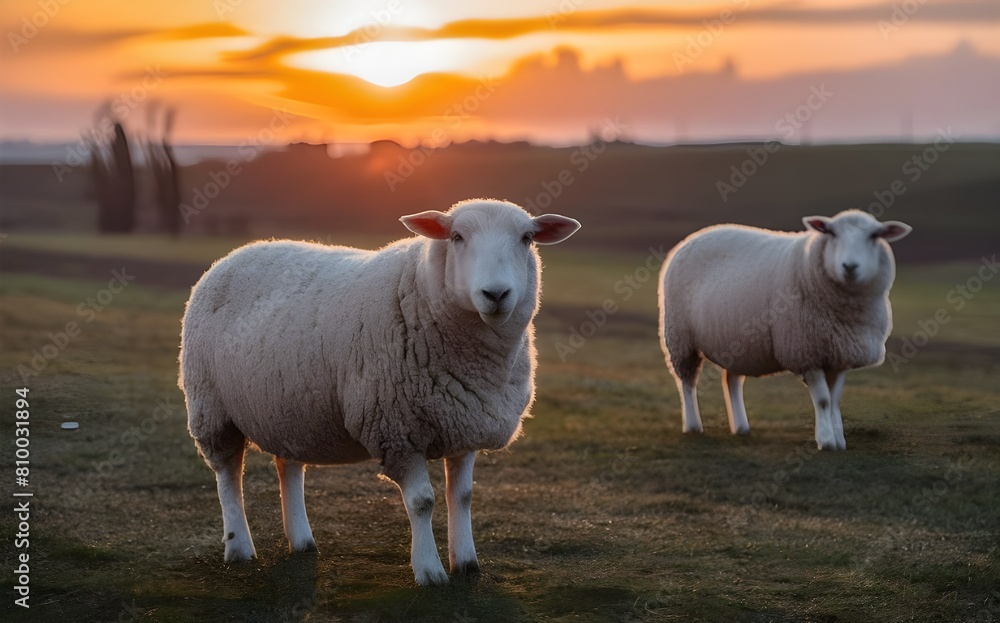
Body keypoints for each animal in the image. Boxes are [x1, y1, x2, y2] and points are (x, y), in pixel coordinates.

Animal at [178, 199, 580, 585]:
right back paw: (239, 548)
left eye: (527, 238)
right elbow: (421, 502)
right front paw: (430, 572)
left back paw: (302, 541)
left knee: (287, 465)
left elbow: (462, 497)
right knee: (228, 475)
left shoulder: (464, 422)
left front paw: (466, 563)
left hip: (288, 406)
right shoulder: (396, 429)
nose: (496, 293)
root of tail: (237, 253)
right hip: (211, 405)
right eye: (457, 237)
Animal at [658, 209, 911, 450]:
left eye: (874, 236)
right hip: (680, 337)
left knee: (731, 380)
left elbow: (835, 400)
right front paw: (826, 441)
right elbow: (823, 400)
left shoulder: (839, 355)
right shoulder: (806, 352)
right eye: (831, 233)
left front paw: (839, 440)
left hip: (737, 341)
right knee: (687, 382)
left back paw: (741, 427)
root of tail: (694, 237)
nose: (849, 266)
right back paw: (693, 426)